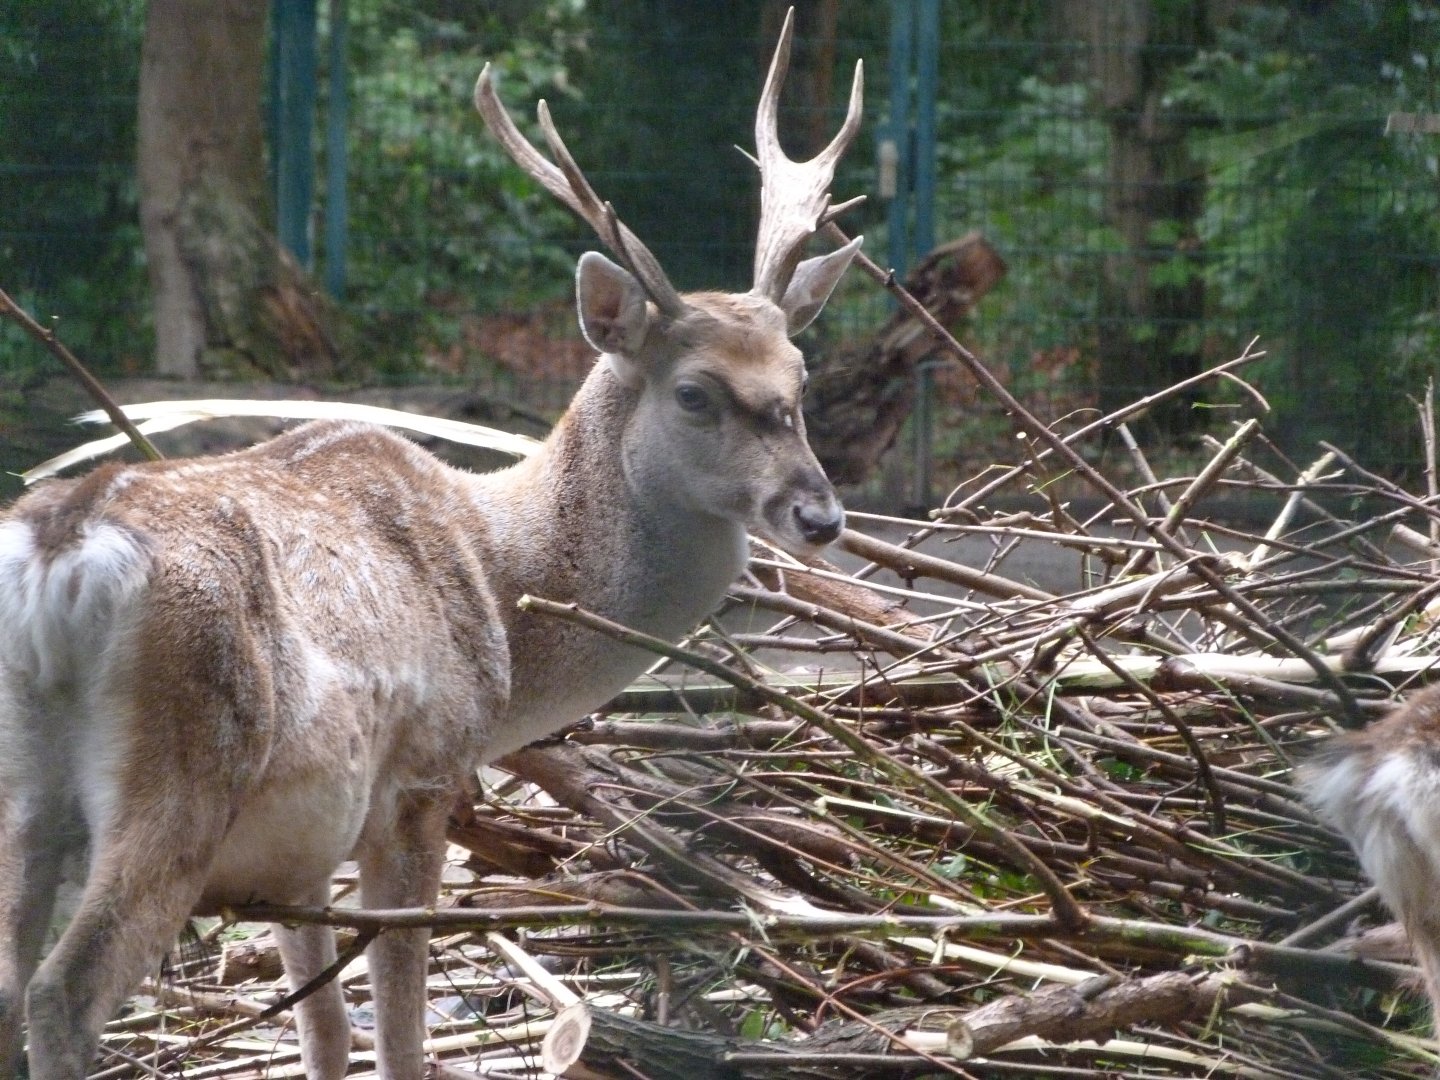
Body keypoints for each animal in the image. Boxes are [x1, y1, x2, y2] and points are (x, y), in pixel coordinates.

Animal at [0, 13, 863, 1080]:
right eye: (696, 392)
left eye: (801, 374)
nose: (820, 515)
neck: (499, 585)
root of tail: (59, 554)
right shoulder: (421, 779)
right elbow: (400, 1034)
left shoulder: (295, 855)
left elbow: (327, 1037)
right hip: (183, 765)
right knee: (63, 991)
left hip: (25, 789)